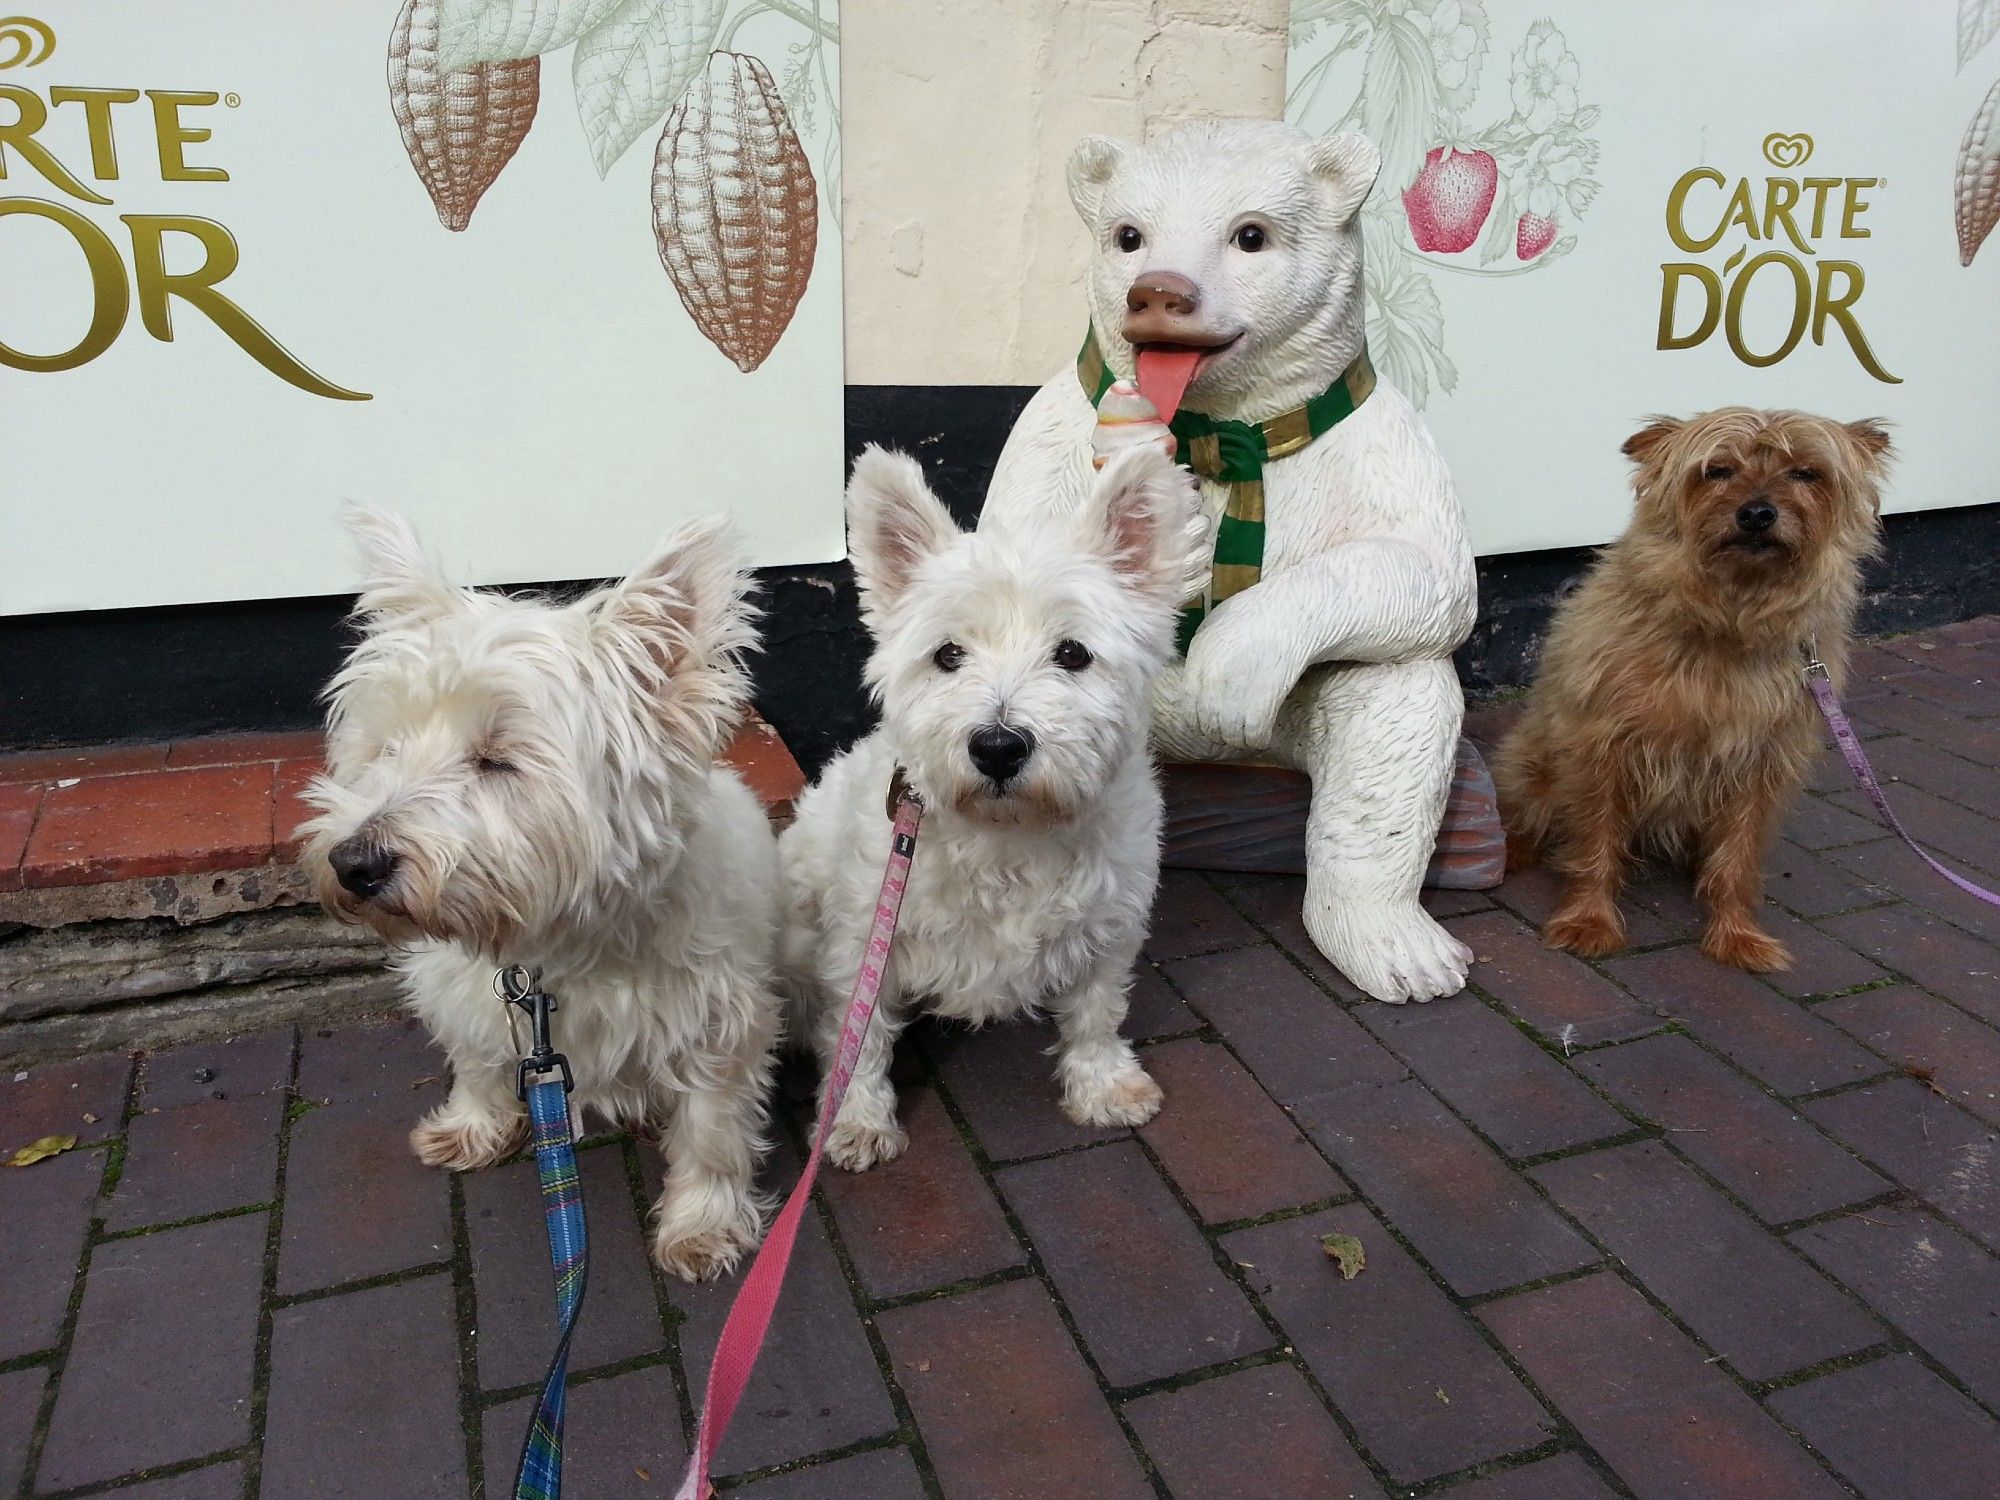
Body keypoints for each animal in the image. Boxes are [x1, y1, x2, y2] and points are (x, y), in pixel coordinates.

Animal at [300, 506, 784, 1280]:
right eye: (386, 749)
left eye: (498, 760)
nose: (353, 864)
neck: (557, 946)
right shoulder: (475, 999)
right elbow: (476, 1063)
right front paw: (472, 1127)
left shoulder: (720, 1021)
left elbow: (712, 1128)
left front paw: (701, 1224)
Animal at [772, 440, 1192, 1168]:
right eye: (947, 654)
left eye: (1073, 652)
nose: (997, 747)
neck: (1009, 833)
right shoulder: (864, 933)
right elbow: (861, 1035)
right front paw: (856, 1118)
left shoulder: (1111, 922)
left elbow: (1098, 1008)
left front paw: (1104, 1086)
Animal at [1504, 412, 1888, 976]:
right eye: (1717, 470)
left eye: (1806, 473)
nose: (1757, 514)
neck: (1729, 619)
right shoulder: (1602, 746)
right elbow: (1595, 839)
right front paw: (1589, 921)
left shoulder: (1761, 762)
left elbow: (1738, 859)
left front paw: (1737, 933)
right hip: (1531, 765)